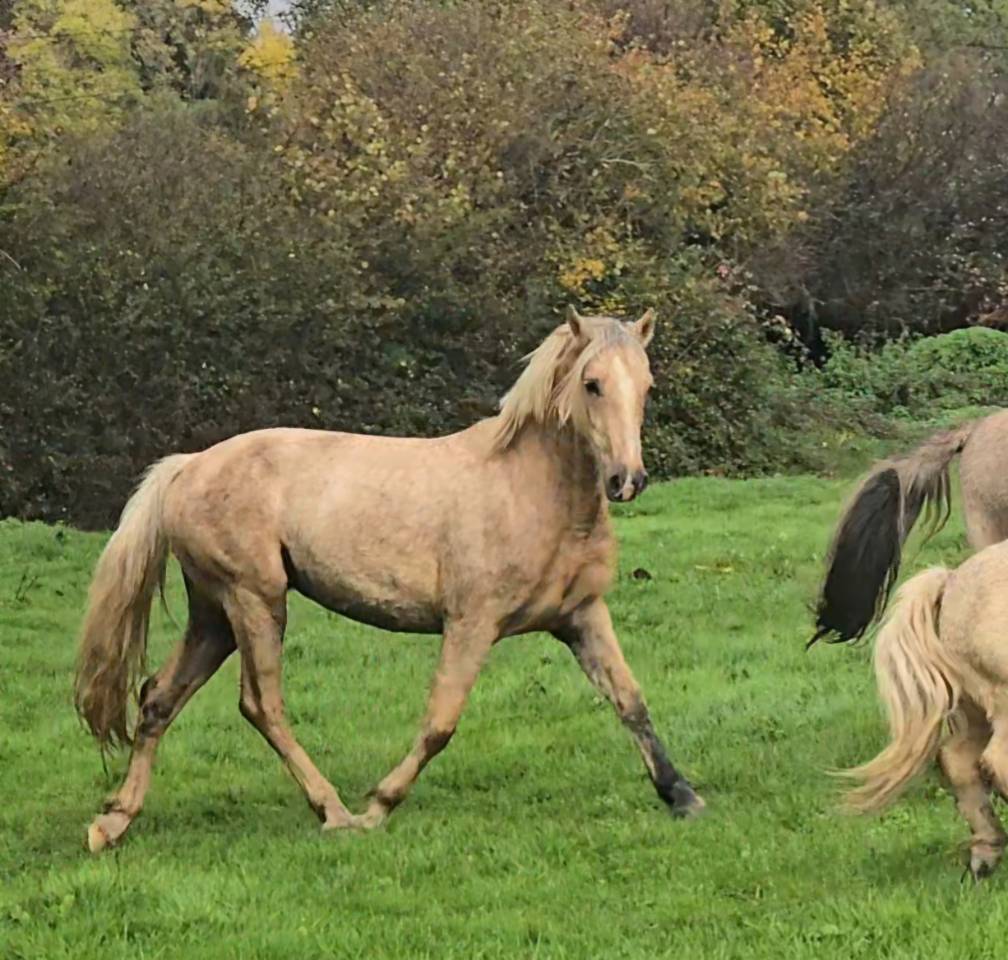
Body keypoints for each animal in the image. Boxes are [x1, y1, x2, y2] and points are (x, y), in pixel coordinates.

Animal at [75, 306, 706, 852]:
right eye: (592, 384)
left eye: (646, 386)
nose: (628, 480)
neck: (530, 492)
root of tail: (185, 467)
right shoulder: (471, 623)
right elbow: (440, 723)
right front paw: (379, 805)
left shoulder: (581, 616)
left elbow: (631, 701)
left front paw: (682, 796)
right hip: (254, 599)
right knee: (261, 705)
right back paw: (334, 812)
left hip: (214, 616)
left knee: (158, 697)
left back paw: (113, 822)